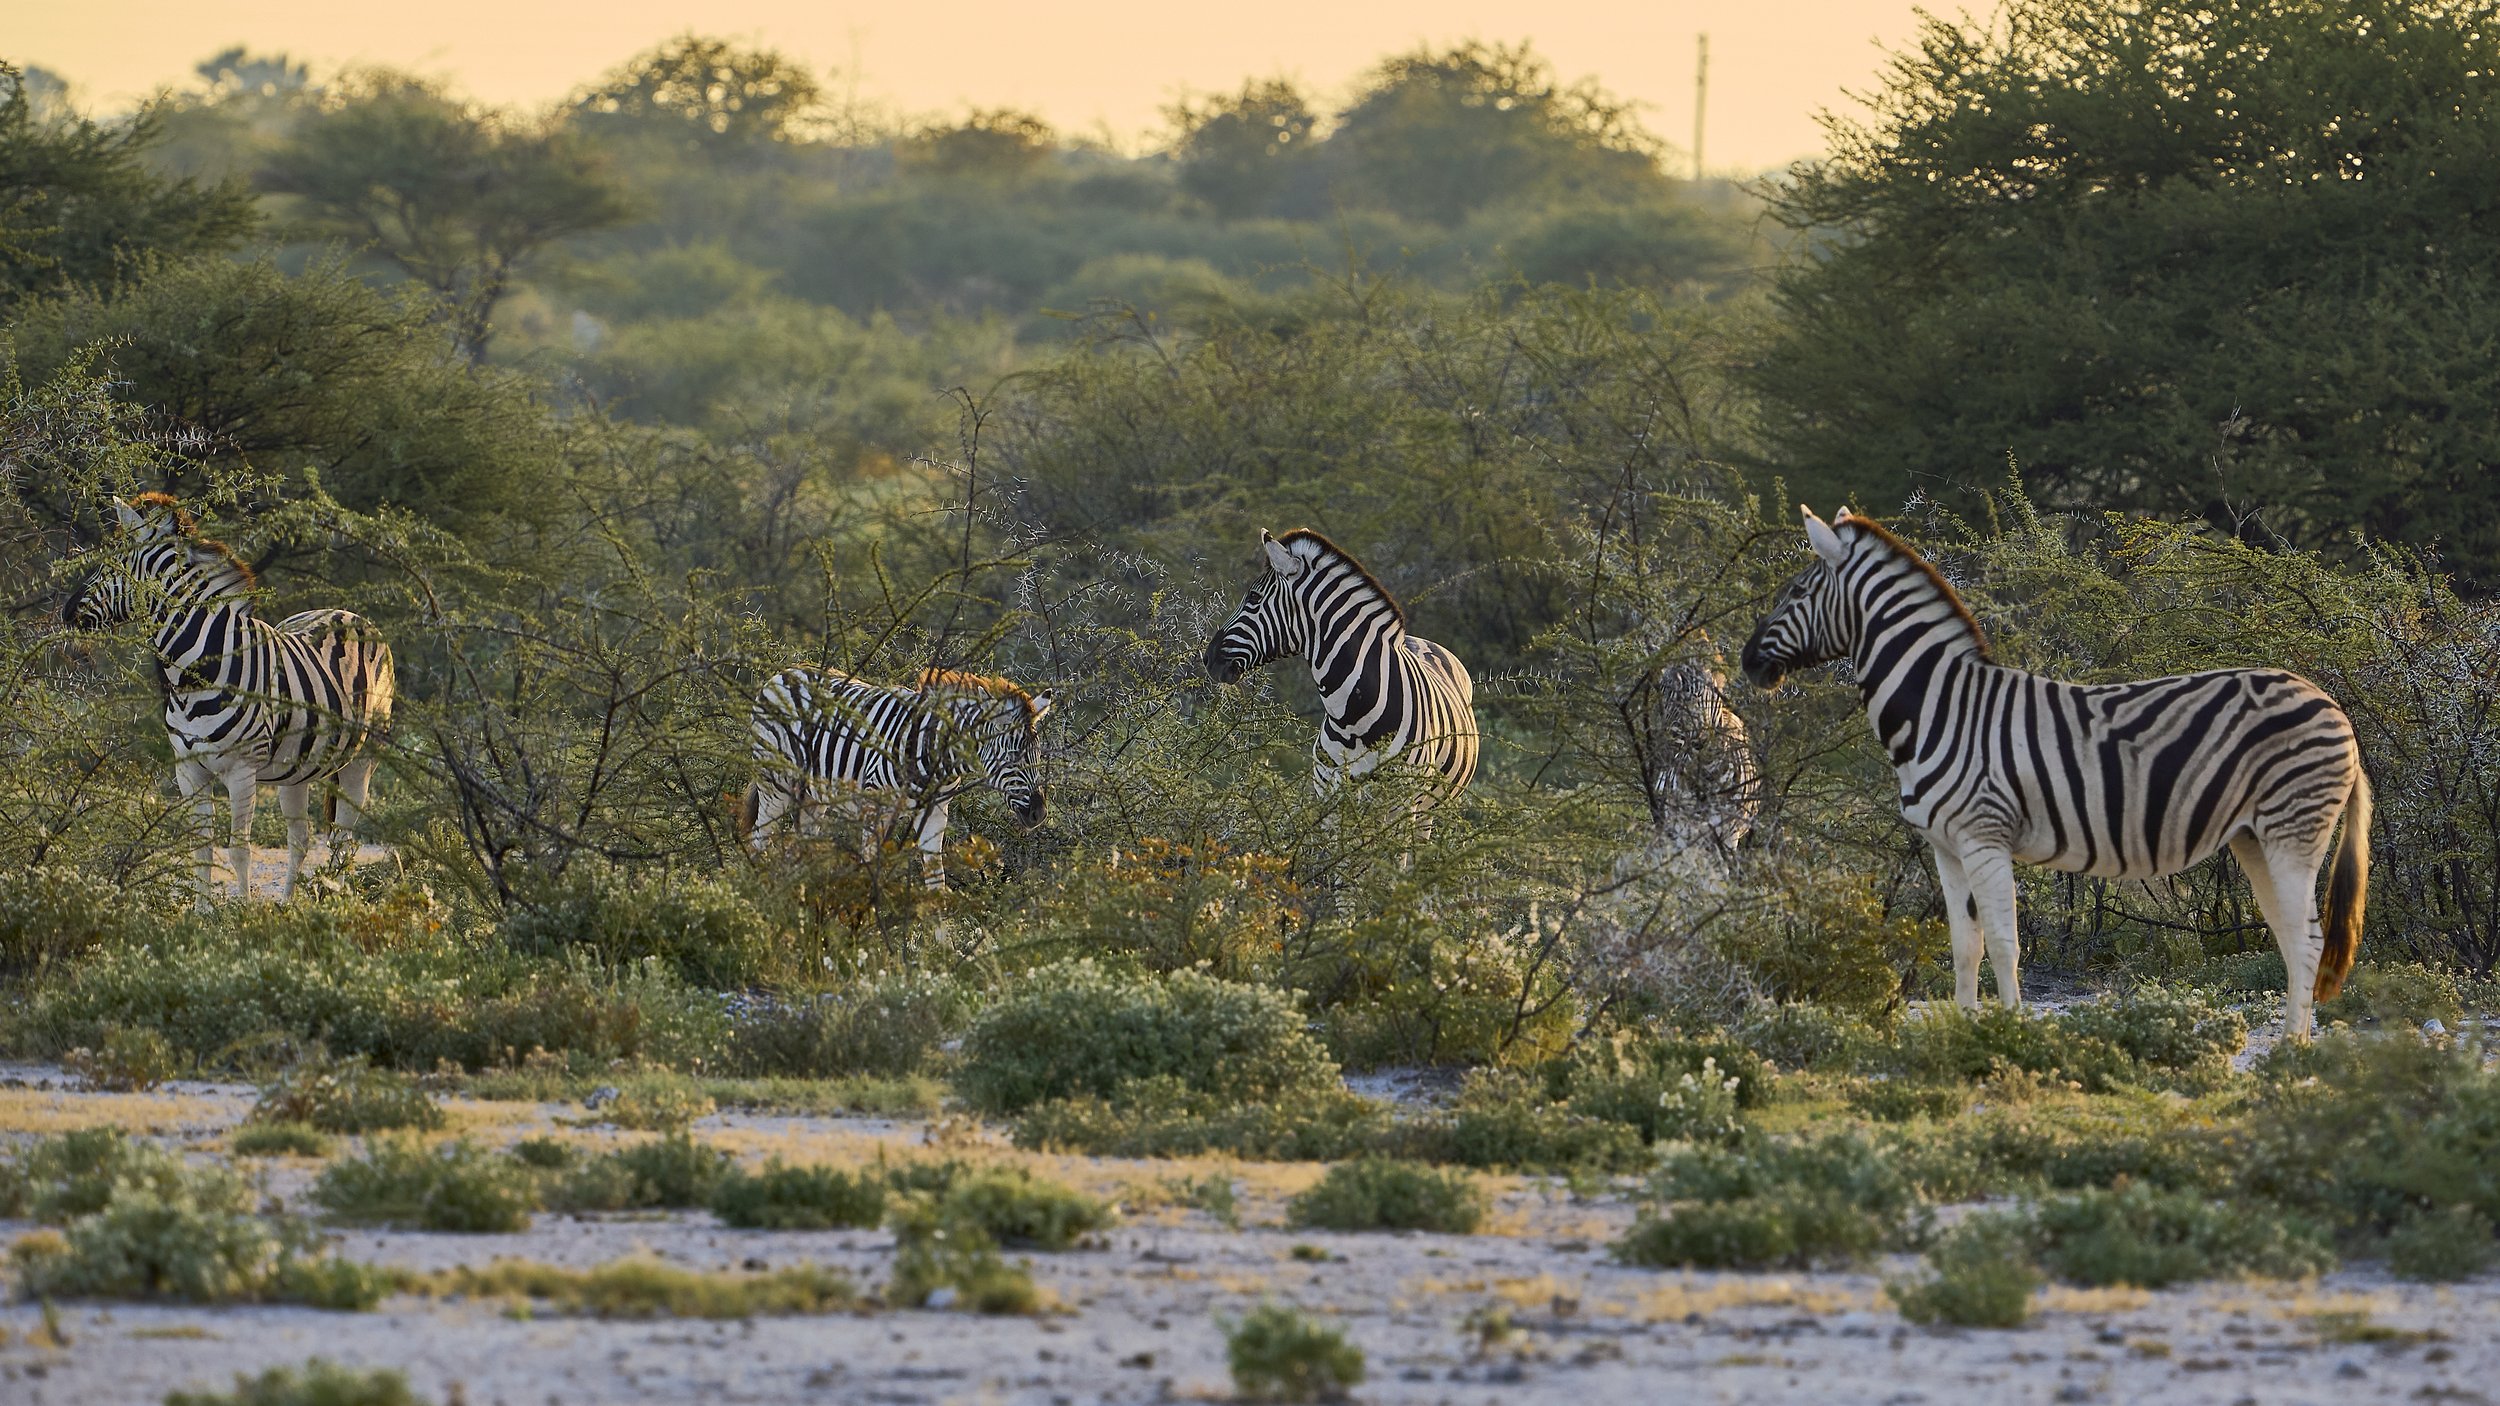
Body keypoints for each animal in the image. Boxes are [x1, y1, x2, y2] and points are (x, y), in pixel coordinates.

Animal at [63, 494, 395, 901]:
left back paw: (333, 902)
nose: (66, 611)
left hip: (363, 758)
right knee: (301, 838)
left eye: (112, 565)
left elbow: (239, 850)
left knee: (344, 840)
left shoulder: (242, 770)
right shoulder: (188, 770)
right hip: (295, 769)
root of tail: (347, 613)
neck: (191, 679)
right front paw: (202, 913)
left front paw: (242, 913)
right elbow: (202, 850)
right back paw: (288, 905)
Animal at [740, 664, 1052, 889]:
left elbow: (936, 883)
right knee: (759, 841)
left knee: (799, 849)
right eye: (1013, 757)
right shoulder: (874, 806)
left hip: (813, 797)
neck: (936, 750)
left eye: (1038, 754)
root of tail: (782, 674)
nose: (1039, 814)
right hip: (775, 785)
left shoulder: (935, 813)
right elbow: (869, 870)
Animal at [1739, 506, 2370, 1040]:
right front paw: (1964, 1040)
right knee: (2288, 936)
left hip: (2294, 830)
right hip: (2253, 837)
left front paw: (2012, 1036)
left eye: (1797, 590)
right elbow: (1964, 946)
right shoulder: (1946, 847)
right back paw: (2294, 1043)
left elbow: (2003, 943)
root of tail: (2333, 705)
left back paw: (2292, 1052)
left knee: (2308, 941)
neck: (1940, 707)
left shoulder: (1984, 835)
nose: (1747, 660)